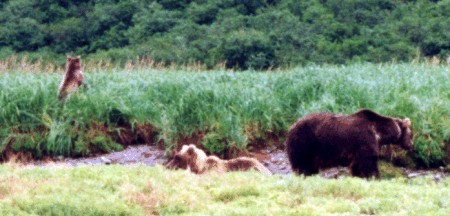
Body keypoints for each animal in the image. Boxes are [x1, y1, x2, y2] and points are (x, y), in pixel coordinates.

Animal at [286, 109, 414, 178]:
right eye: (411, 134)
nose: (411, 145)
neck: (379, 133)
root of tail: (292, 126)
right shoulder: (365, 140)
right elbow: (369, 164)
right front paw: (375, 177)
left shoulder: (358, 150)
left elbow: (357, 166)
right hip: (305, 142)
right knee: (303, 165)